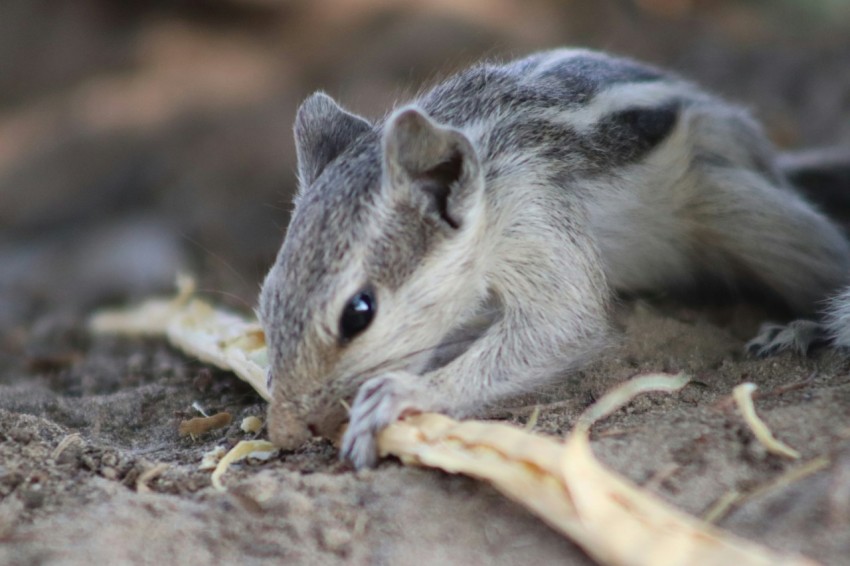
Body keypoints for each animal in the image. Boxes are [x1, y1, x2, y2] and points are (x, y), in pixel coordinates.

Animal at [256, 48, 848, 468]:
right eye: (265, 300)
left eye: (359, 313)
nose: (283, 433)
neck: (490, 178)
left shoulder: (536, 221)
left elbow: (563, 325)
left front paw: (404, 393)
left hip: (737, 206)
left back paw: (799, 329)